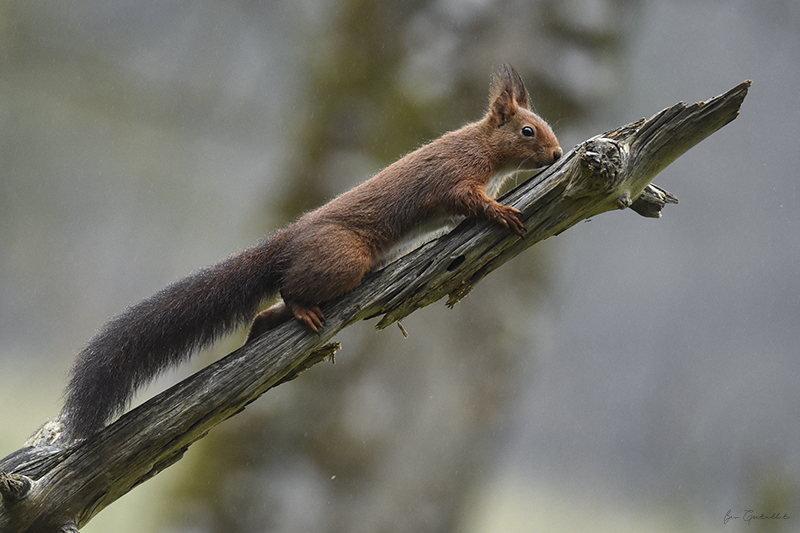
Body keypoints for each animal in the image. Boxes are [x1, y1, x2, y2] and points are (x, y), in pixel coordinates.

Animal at [59, 65, 564, 440]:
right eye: (527, 131)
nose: (558, 154)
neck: (482, 147)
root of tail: (289, 238)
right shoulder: (453, 176)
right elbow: (466, 199)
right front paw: (501, 212)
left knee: (268, 309)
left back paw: (260, 331)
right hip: (343, 259)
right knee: (290, 289)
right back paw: (298, 311)